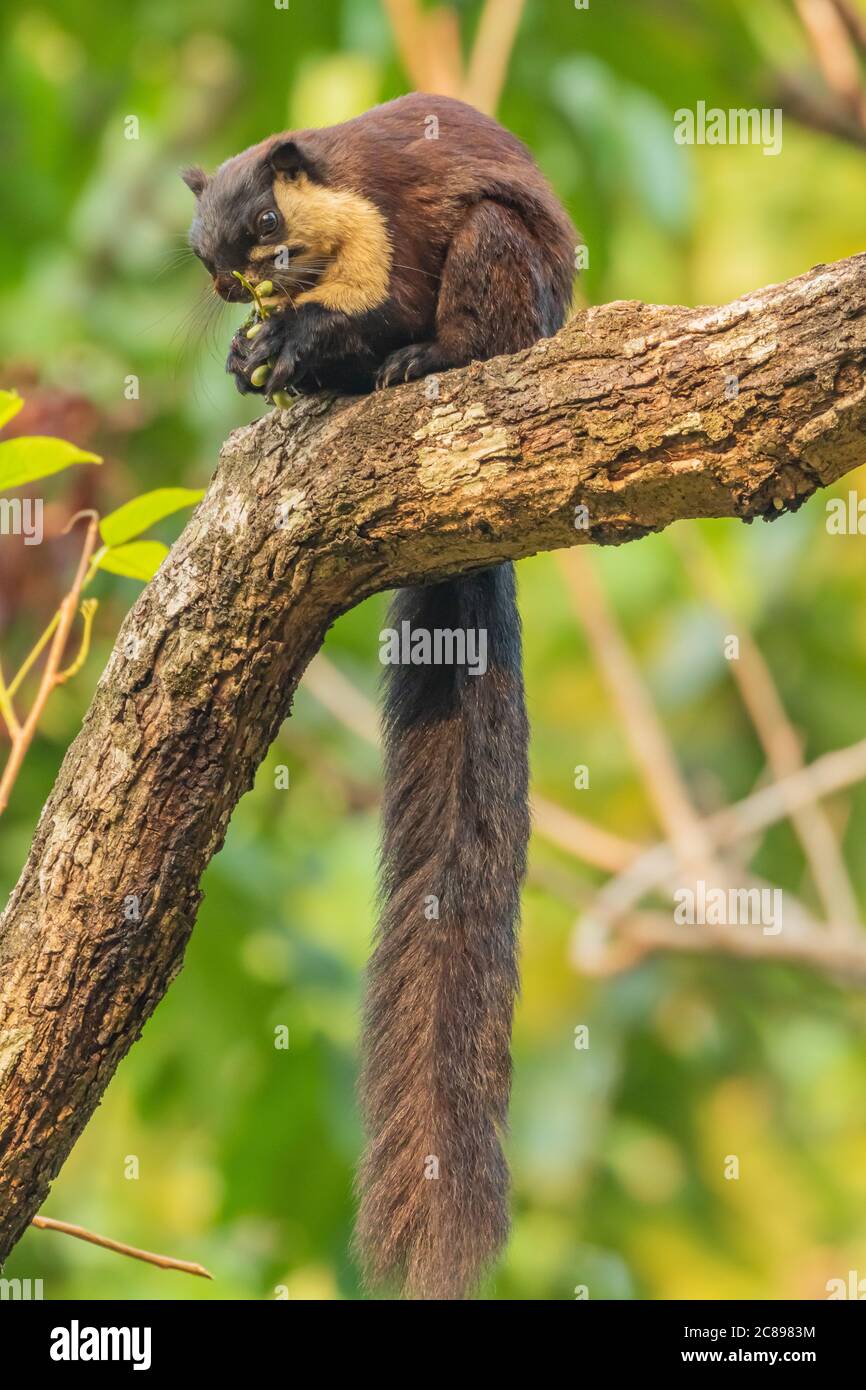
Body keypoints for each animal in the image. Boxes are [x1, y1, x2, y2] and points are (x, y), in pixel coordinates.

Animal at [183, 92, 578, 1295]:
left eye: (268, 215)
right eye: (205, 249)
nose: (248, 279)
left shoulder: (401, 226)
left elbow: (376, 307)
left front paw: (298, 346)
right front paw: (251, 355)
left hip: (501, 255)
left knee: (466, 337)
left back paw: (415, 364)